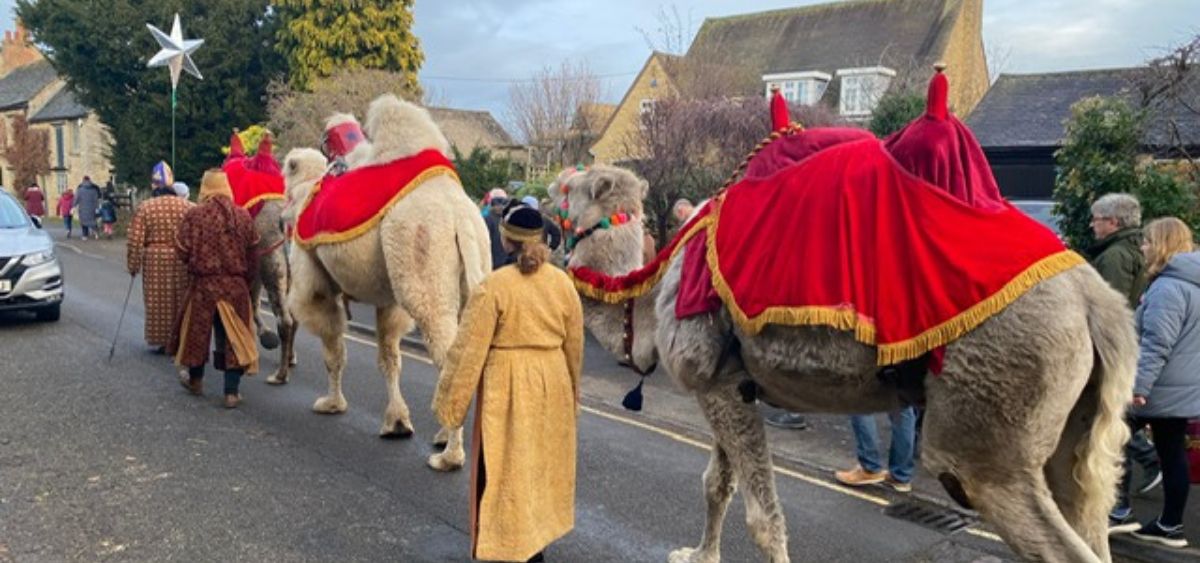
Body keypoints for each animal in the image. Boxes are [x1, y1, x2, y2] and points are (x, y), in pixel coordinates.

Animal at [278, 96, 489, 470]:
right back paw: (445, 439)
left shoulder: (314, 277)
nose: (280, 211)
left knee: (450, 357)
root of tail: (458, 214)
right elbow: (389, 357)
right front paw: (397, 422)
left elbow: (333, 347)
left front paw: (332, 404)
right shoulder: (387, 300)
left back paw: (449, 456)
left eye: (285, 168)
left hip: (422, 265)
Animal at [552, 158, 1132, 561]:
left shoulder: (720, 386)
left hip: (989, 424)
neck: (647, 306)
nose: (549, 194)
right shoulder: (727, 384)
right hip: (1069, 432)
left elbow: (762, 516)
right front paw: (698, 554)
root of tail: (1097, 301)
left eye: (567, 187)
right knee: (1086, 509)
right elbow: (716, 484)